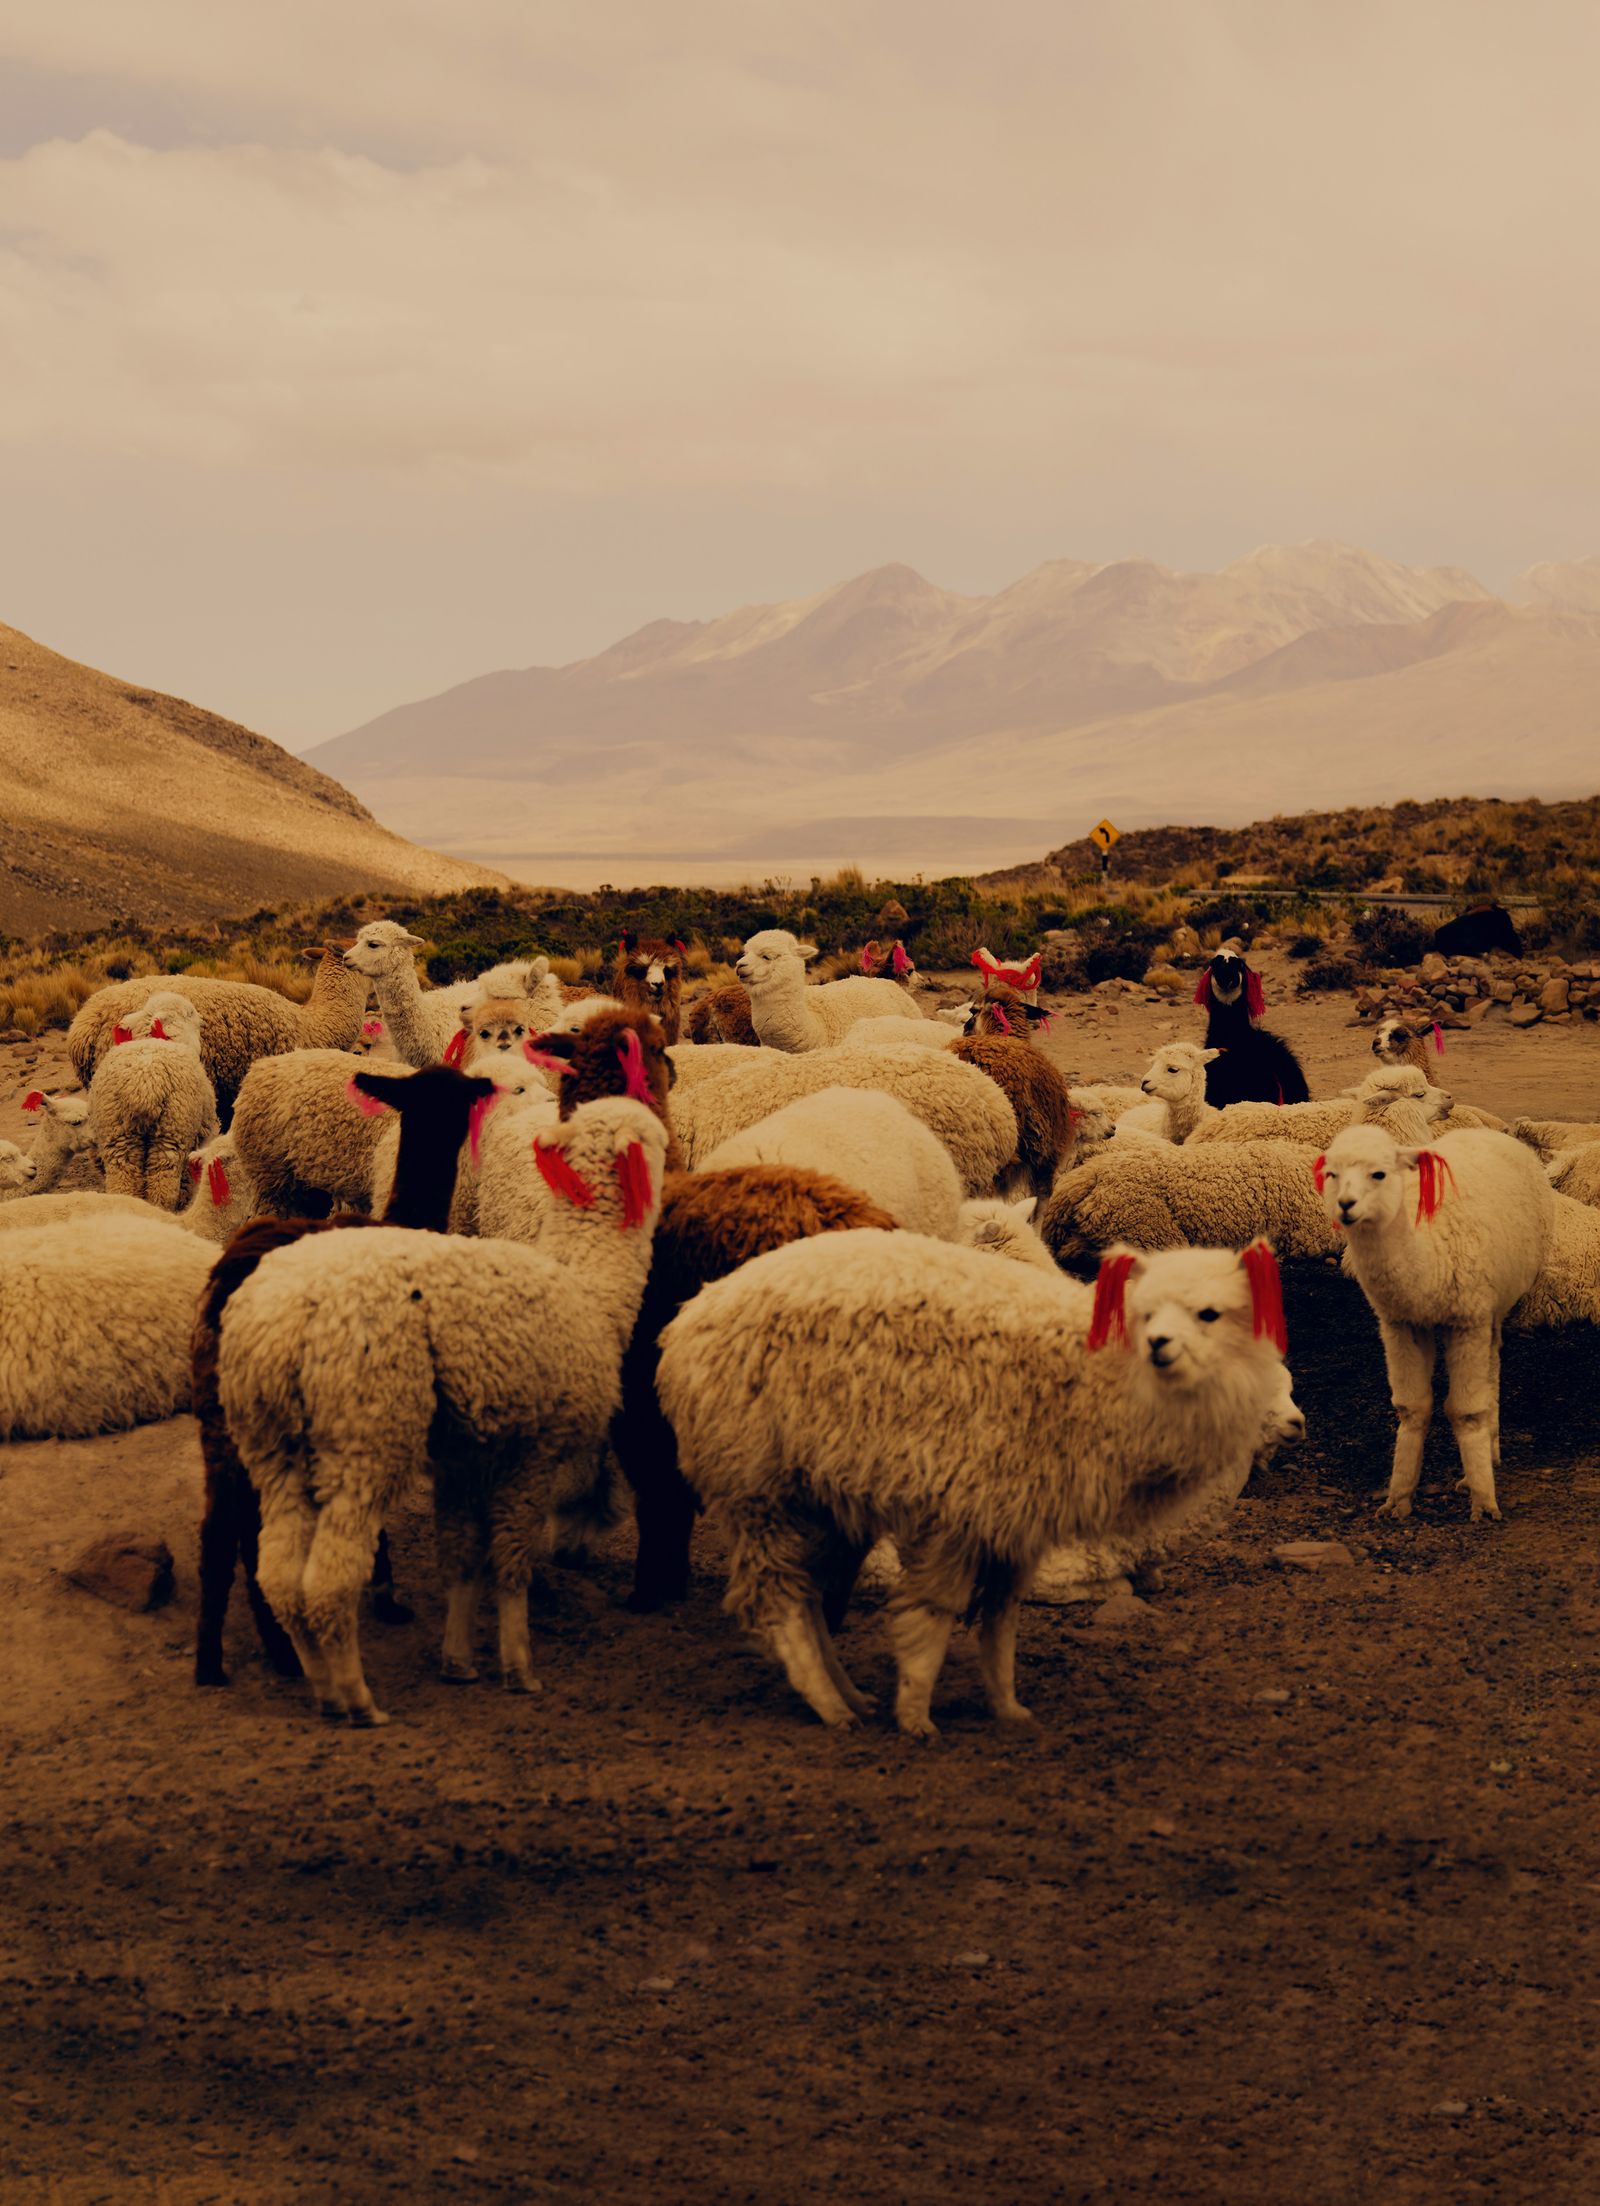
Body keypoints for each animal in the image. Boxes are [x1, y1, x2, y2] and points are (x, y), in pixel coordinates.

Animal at [87, 992, 218, 1208]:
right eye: (189, 1013)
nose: (203, 1020)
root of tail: (145, 1083)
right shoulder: (206, 1131)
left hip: (117, 1137)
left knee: (124, 1184)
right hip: (171, 1133)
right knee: (162, 1189)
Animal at [193, 1061, 498, 1689]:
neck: (403, 1222)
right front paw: (386, 1593)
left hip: (219, 1416)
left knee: (221, 1530)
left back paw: (215, 1660)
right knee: (252, 1527)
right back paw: (285, 1652)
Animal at [216, 1095, 668, 1722]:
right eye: (658, 1142)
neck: (589, 1290)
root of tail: (286, 1322)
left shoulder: (466, 1455)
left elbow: (460, 1556)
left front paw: (458, 1660)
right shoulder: (529, 1449)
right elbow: (509, 1559)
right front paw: (518, 1666)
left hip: (273, 1445)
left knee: (279, 1573)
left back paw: (324, 1689)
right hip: (363, 1435)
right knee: (329, 1578)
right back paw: (357, 1699)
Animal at [656, 1233, 1293, 1734]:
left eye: (1208, 1313)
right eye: (1146, 1314)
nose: (1160, 1346)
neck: (1099, 1384)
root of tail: (683, 1324)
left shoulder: (1016, 1517)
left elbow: (1002, 1621)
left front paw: (1007, 1707)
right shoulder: (959, 1503)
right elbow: (935, 1615)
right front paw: (916, 1714)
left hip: (816, 1496)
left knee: (808, 1594)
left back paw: (850, 1696)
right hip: (758, 1485)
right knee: (782, 1601)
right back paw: (829, 1705)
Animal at [1319, 1126, 1555, 1523]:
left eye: (1379, 1173)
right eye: (1331, 1174)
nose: (1346, 1205)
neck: (1427, 1260)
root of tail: (1485, 1130)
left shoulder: (1467, 1319)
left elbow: (1466, 1411)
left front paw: (1483, 1502)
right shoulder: (1401, 1324)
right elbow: (1412, 1408)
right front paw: (1397, 1499)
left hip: (1492, 1306)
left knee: (1491, 1370)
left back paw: (1487, 1456)